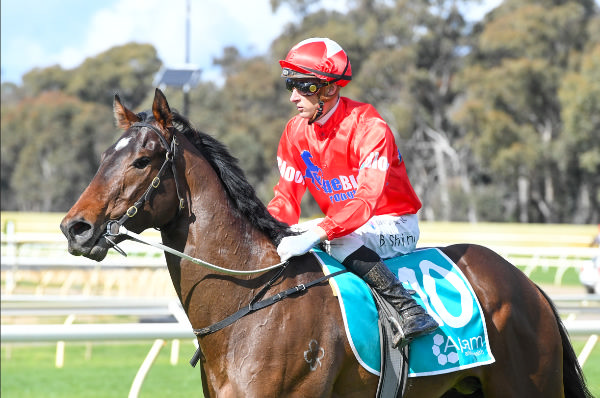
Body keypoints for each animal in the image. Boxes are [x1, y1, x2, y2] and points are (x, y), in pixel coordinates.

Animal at [61, 90, 592, 398]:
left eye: (143, 160)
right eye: (106, 156)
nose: (75, 228)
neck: (248, 304)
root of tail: (530, 285)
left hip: (527, 387)